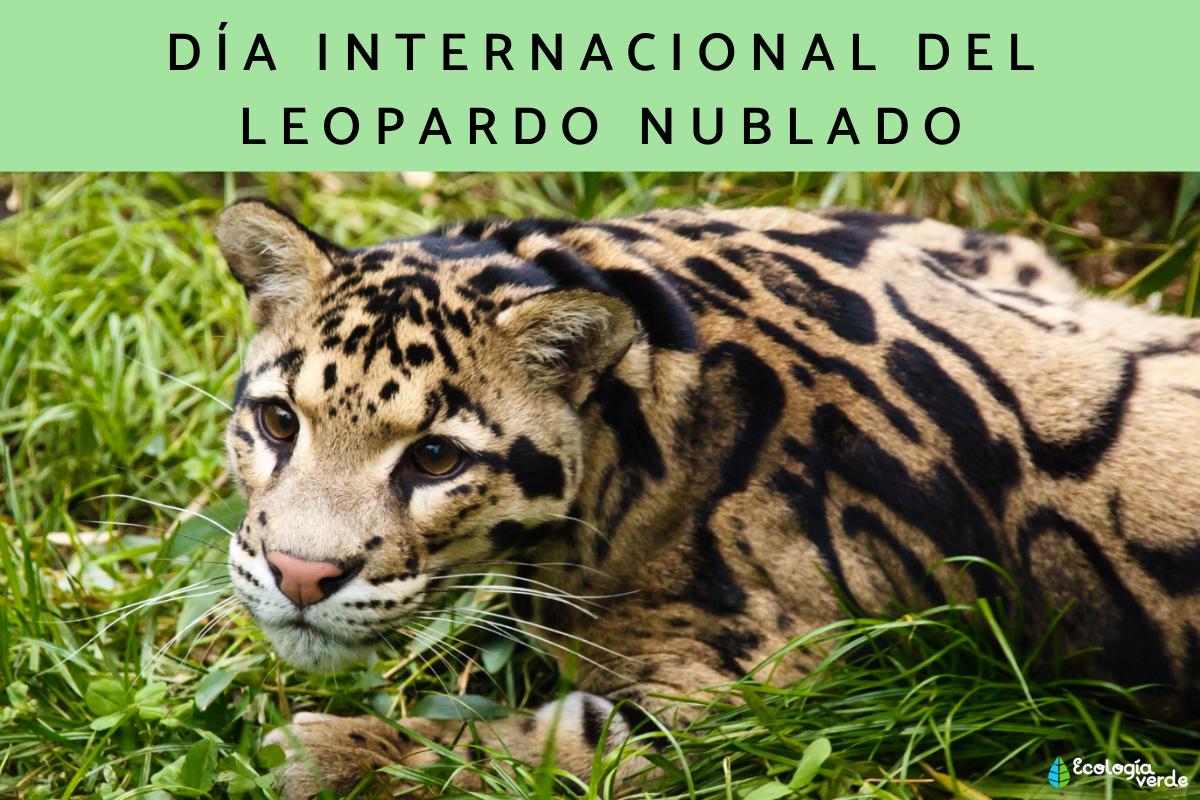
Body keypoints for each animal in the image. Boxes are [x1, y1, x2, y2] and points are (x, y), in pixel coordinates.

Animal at [215, 199, 1200, 798]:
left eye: (434, 459)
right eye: (277, 421)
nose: (300, 574)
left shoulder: (768, 688)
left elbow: (539, 749)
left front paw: (334, 755)